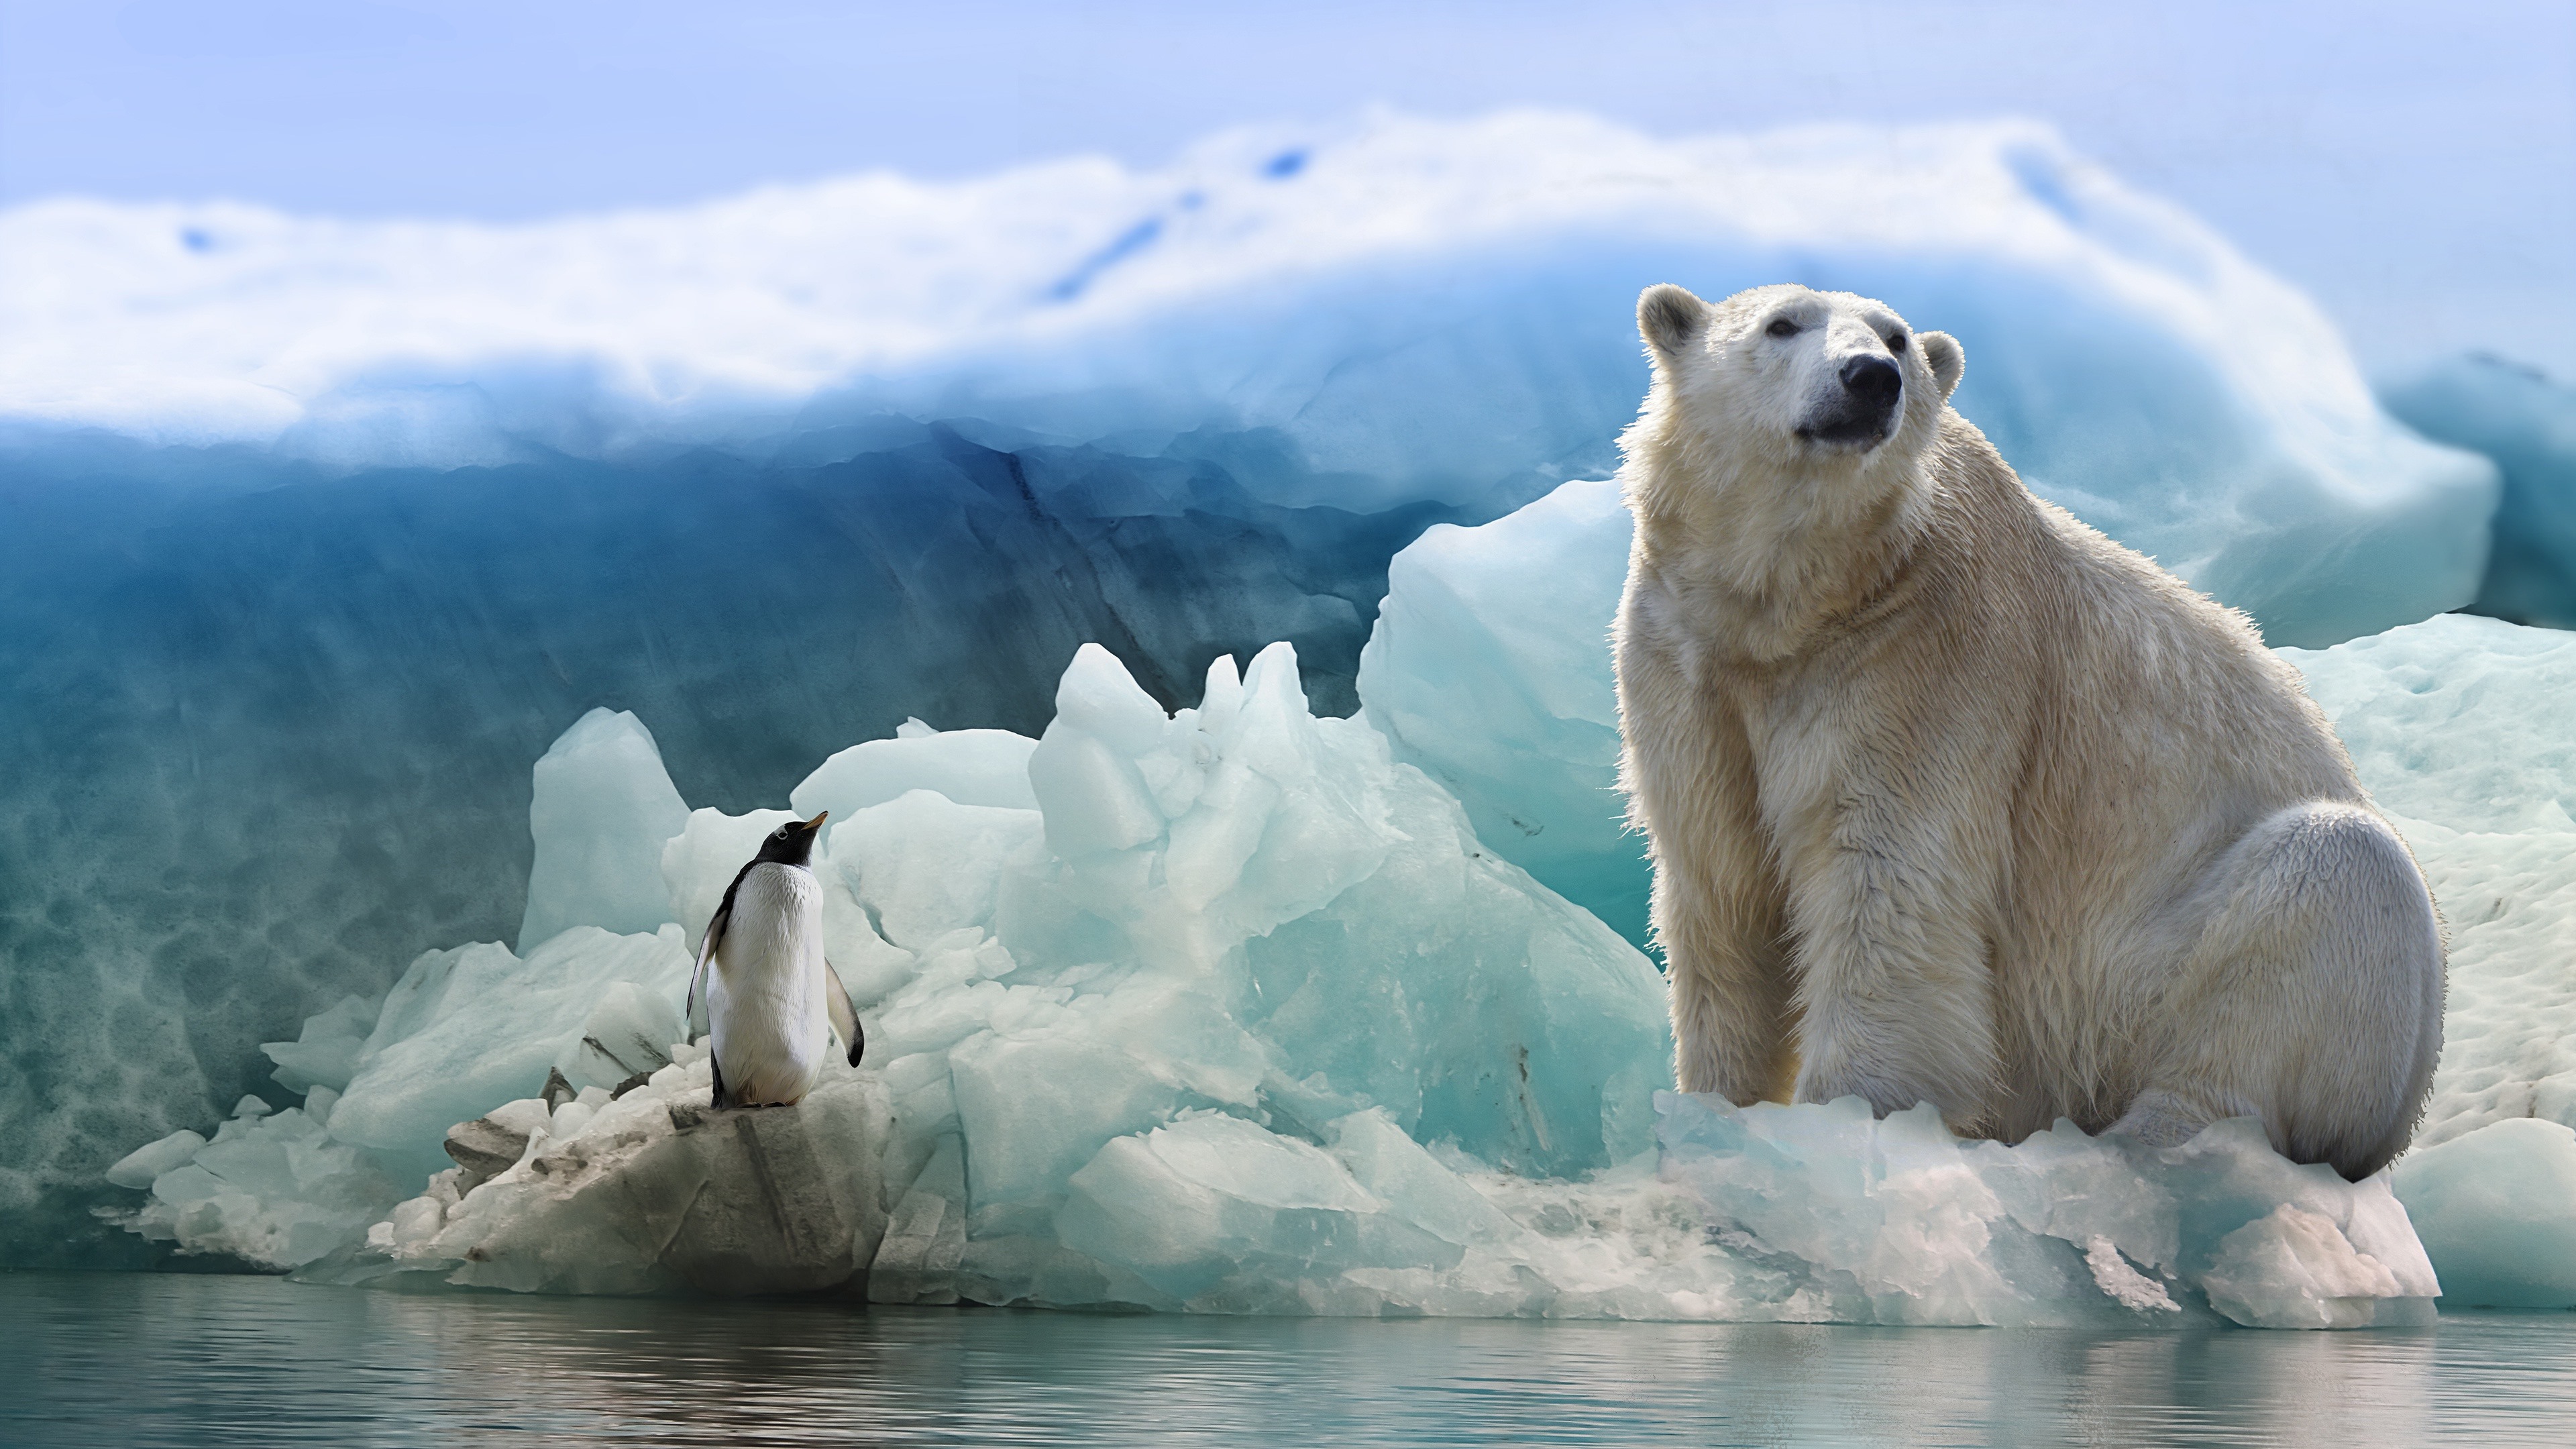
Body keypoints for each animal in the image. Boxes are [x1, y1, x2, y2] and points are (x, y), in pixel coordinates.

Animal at [1612, 282, 2445, 1181]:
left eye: (1897, 339)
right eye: (1781, 325)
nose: (1870, 379)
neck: (1801, 605)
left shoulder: (1925, 658)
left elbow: (1888, 889)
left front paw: (1846, 1123)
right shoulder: (1688, 665)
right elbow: (1722, 888)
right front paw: (1715, 1113)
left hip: (2155, 982)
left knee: (2330, 885)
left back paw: (2149, 1145)